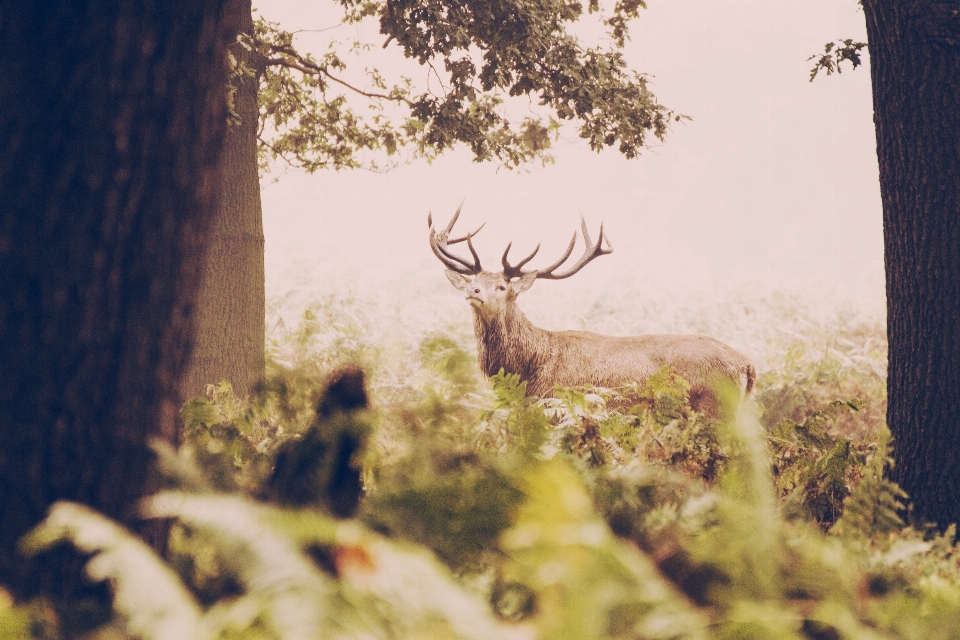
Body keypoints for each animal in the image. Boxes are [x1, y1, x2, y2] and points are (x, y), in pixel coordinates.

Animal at [430, 202, 756, 418]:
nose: (473, 292)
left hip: (714, 409)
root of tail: (747, 365)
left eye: (501, 287)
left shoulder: (558, 408)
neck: (528, 369)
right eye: (474, 281)